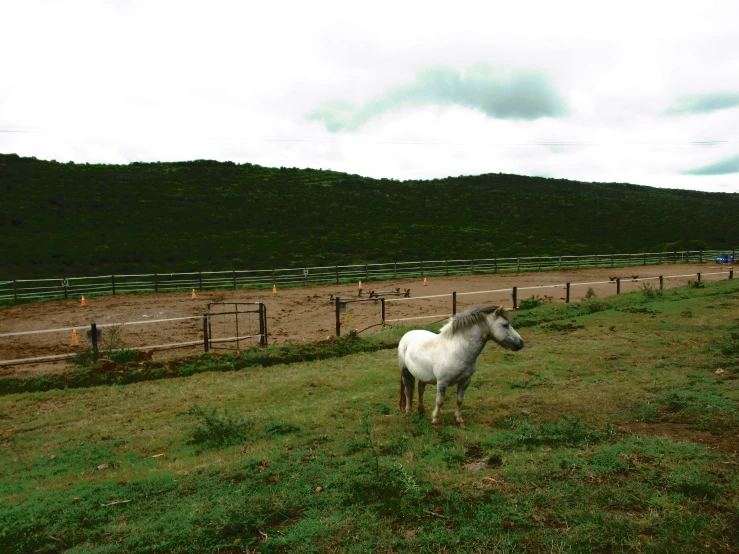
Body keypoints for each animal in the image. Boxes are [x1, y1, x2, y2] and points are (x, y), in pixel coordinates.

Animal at [398, 304, 528, 424]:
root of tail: (408, 334)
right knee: (408, 390)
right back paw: (408, 412)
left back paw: (421, 410)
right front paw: (435, 420)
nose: (521, 343)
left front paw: (459, 420)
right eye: (505, 325)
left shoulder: (465, 381)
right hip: (405, 371)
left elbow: (459, 400)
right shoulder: (442, 382)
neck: (457, 351)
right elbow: (439, 401)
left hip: (423, 375)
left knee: (420, 389)